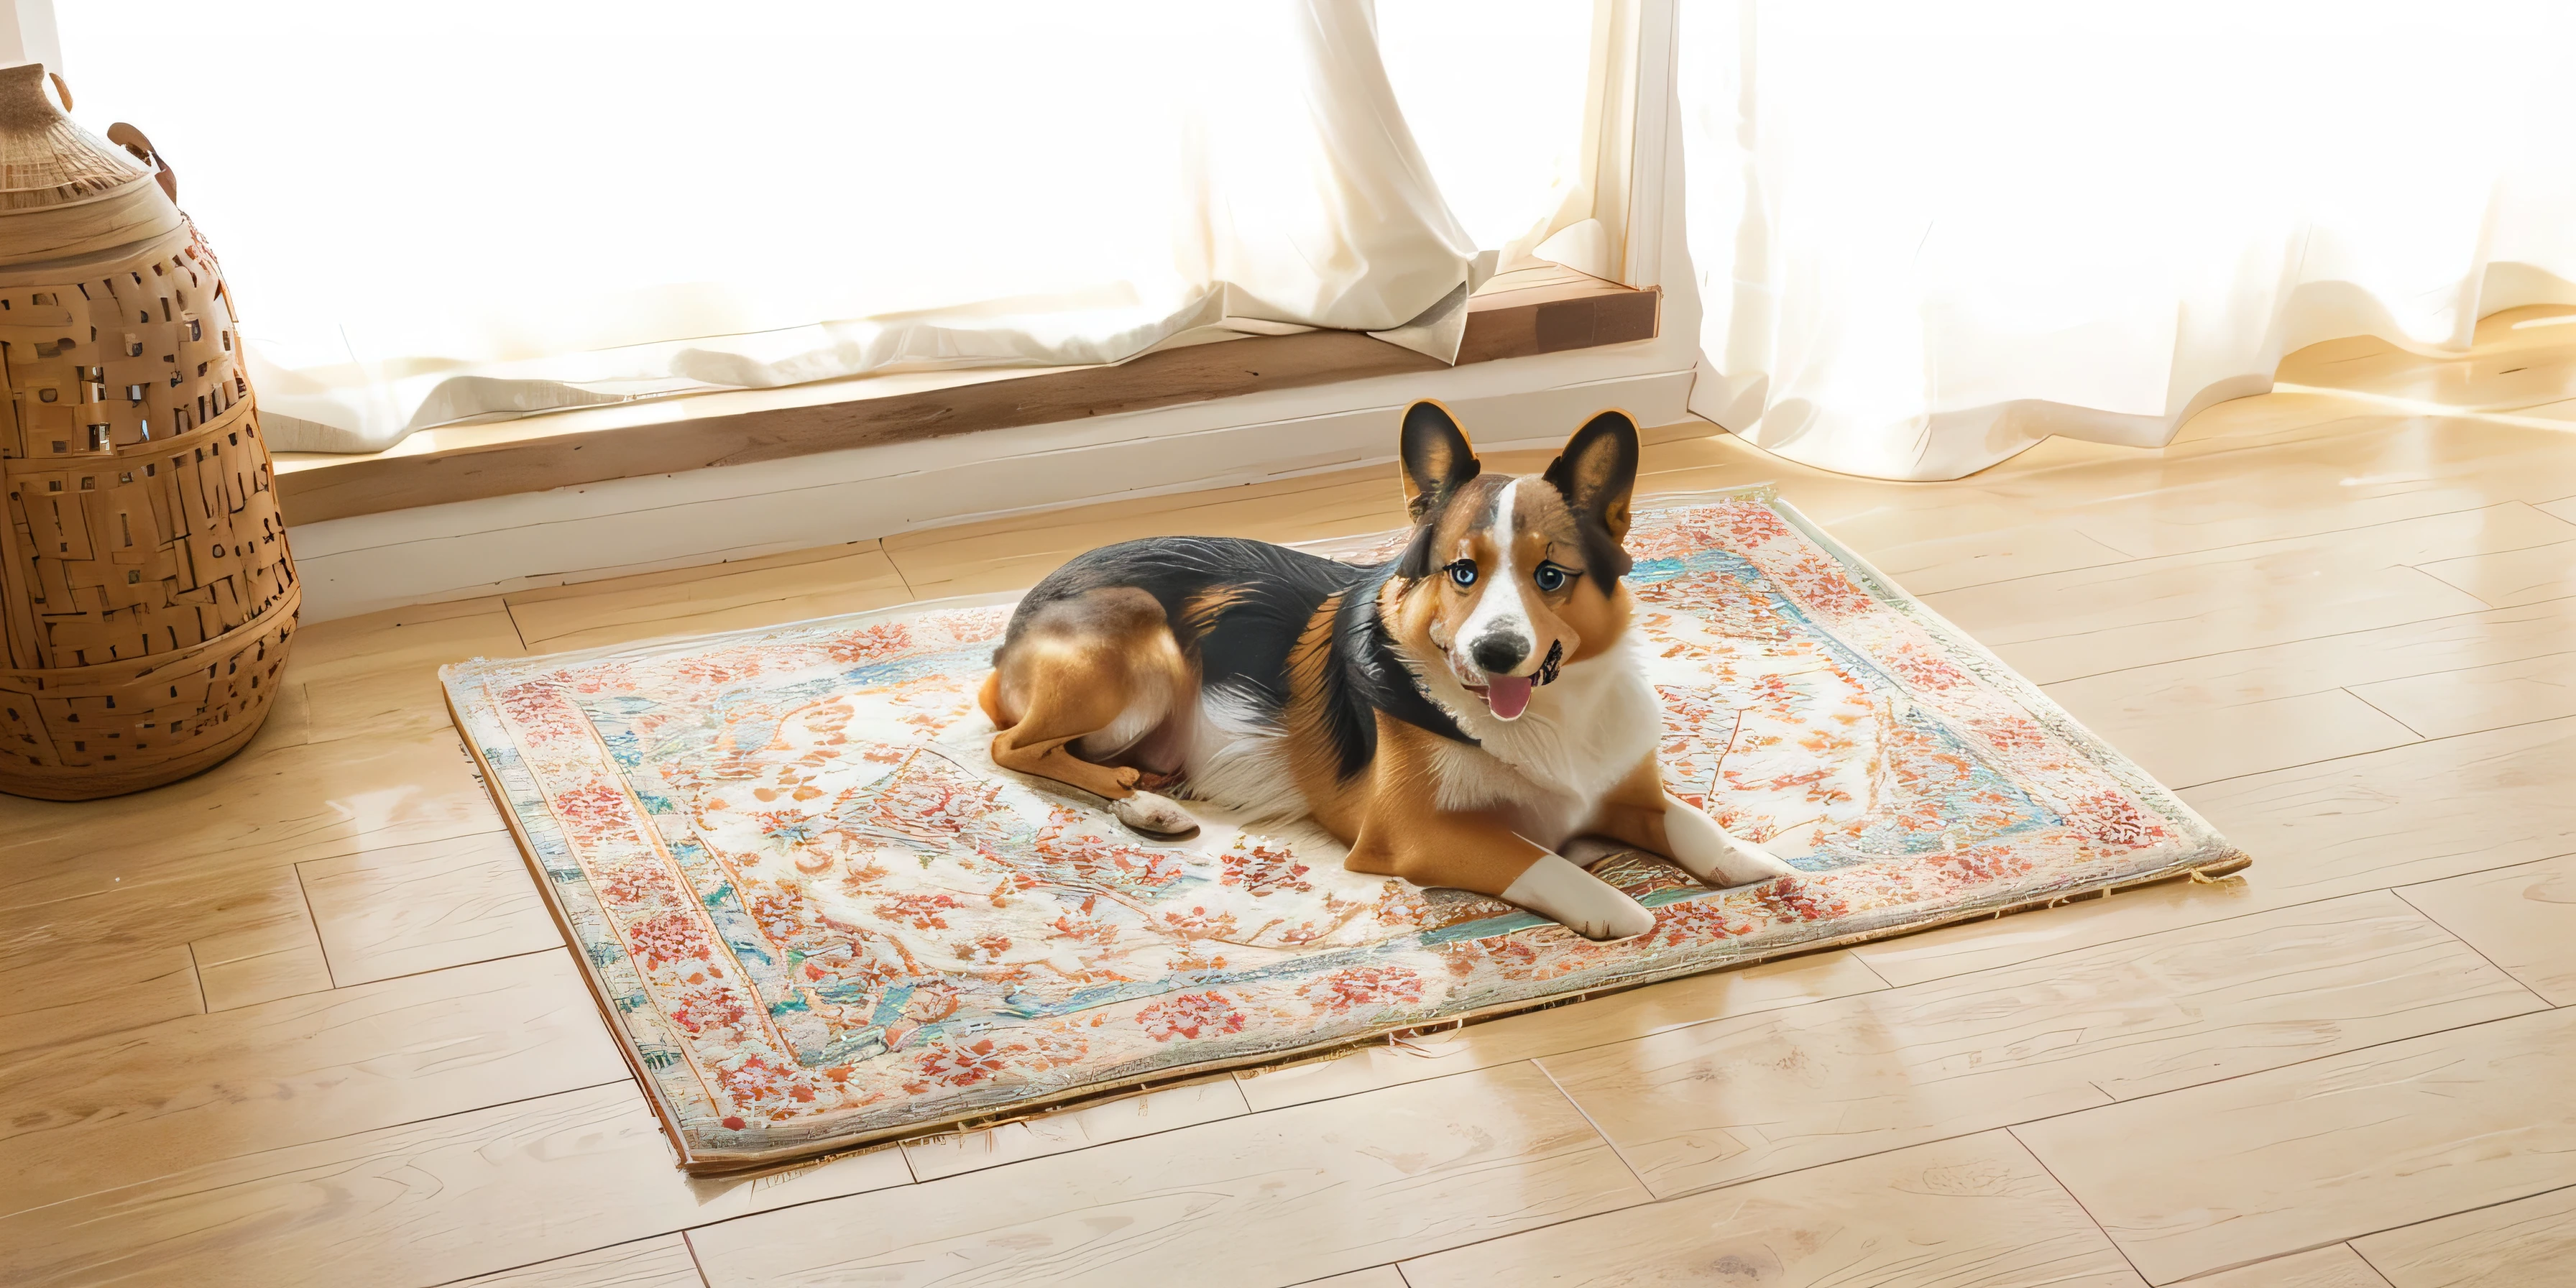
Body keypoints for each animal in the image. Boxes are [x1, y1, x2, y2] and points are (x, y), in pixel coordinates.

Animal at [973, 396, 1803, 942]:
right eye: (1463, 572)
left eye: (1552, 576)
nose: (1495, 653)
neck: (1545, 715)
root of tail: (1014, 628)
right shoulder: (1415, 833)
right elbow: (1536, 857)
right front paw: (1616, 906)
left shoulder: (1627, 790)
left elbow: (1689, 819)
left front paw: (1744, 858)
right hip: (1144, 649)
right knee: (1016, 745)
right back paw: (1134, 795)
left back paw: (1148, 800)